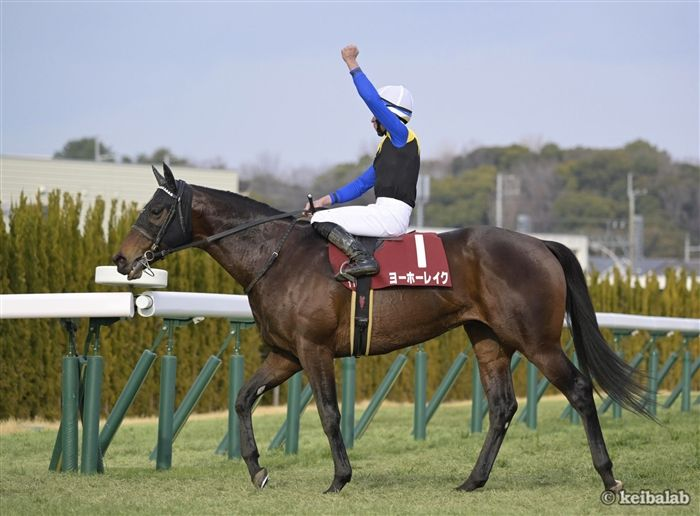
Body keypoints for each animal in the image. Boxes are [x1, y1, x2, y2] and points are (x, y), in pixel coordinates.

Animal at [113, 164, 650, 494]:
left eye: (156, 210)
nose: (121, 259)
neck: (278, 255)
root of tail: (541, 244)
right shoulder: (284, 353)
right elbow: (243, 400)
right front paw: (259, 471)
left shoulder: (313, 350)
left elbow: (329, 413)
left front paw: (339, 479)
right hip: (489, 339)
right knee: (502, 407)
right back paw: (472, 481)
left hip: (536, 340)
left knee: (578, 389)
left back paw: (609, 477)